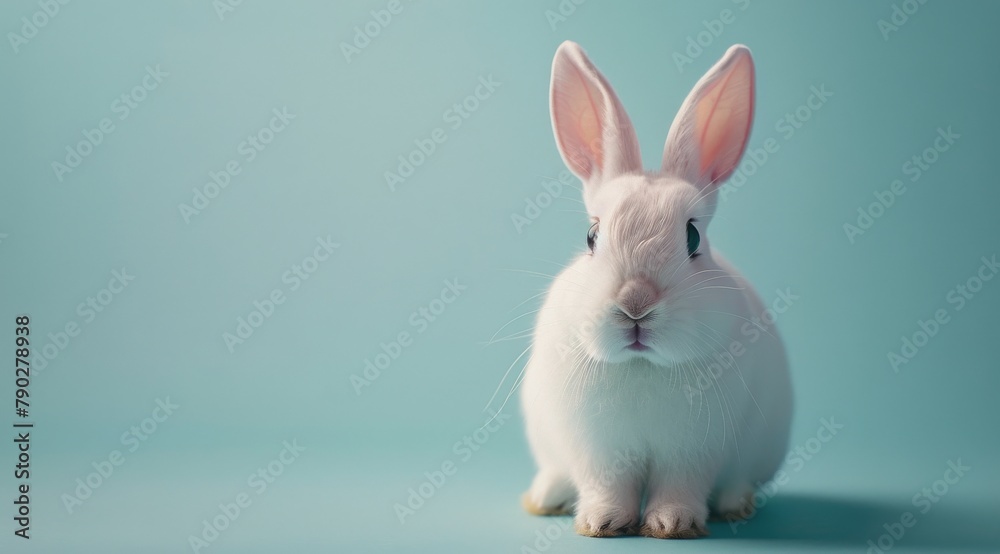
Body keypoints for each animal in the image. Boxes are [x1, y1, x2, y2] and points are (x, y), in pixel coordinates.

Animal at [520, 41, 793, 539]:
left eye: (693, 237)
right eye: (592, 236)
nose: (636, 304)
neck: (642, 366)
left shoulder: (693, 452)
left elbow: (679, 488)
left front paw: (671, 524)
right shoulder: (598, 450)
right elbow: (607, 486)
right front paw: (602, 522)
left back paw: (736, 505)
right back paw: (545, 498)